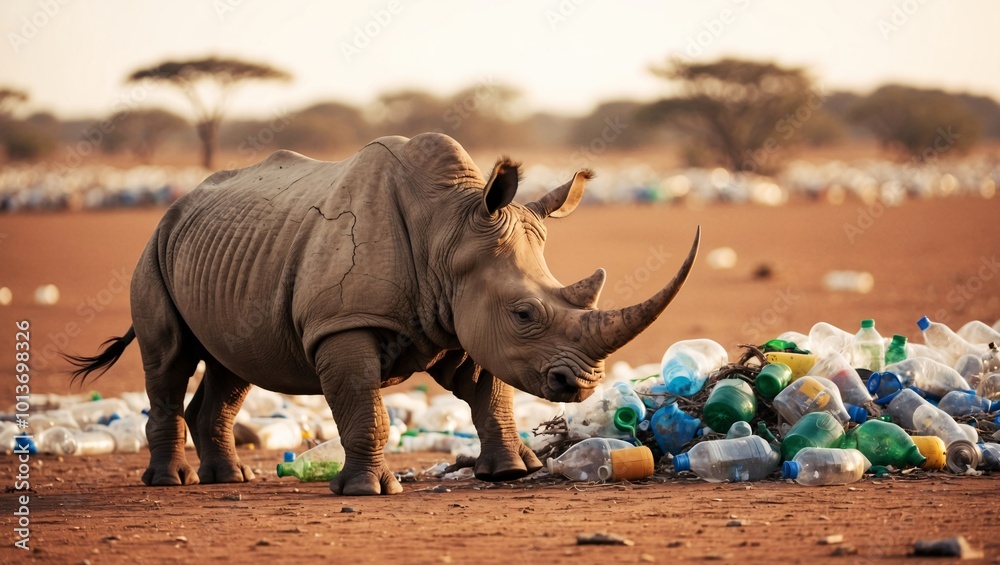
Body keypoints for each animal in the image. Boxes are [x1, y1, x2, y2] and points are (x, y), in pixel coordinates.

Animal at [67, 132, 699, 495]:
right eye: (524, 315)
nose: (583, 383)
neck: (448, 228)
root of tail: (177, 204)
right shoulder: (342, 325)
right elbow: (363, 405)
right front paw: (367, 490)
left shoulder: (458, 313)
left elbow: (488, 393)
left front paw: (510, 472)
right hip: (155, 248)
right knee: (170, 360)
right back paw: (170, 483)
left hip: (229, 253)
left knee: (233, 368)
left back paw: (230, 479)